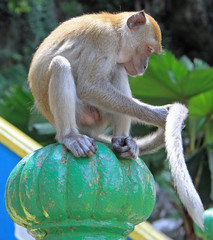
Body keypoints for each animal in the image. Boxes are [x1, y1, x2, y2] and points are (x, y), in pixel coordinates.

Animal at [27, 10, 204, 229]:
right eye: (148, 49)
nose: (145, 66)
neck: (117, 31)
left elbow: (110, 75)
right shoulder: (103, 40)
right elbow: (90, 86)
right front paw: (160, 114)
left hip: (97, 119)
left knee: (118, 70)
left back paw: (123, 141)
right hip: (81, 115)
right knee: (61, 65)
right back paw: (71, 137)